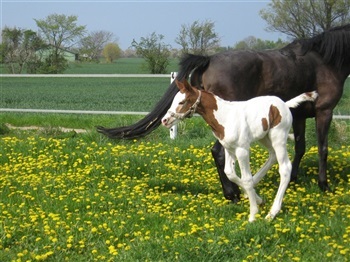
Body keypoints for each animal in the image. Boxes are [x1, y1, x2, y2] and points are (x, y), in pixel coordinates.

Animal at [98, 24, 350, 202]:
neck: (324, 59)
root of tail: (209, 59)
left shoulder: (298, 116)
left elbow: (300, 148)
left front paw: (294, 179)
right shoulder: (324, 111)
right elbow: (323, 149)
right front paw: (324, 185)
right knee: (218, 153)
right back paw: (232, 194)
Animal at [161, 79, 318, 222]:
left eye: (182, 102)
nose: (164, 120)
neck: (224, 116)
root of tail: (284, 104)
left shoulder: (242, 150)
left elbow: (246, 179)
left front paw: (253, 214)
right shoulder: (229, 149)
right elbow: (230, 173)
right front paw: (258, 199)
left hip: (278, 137)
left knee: (285, 168)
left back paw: (272, 213)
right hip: (264, 137)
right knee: (272, 155)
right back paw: (255, 189)